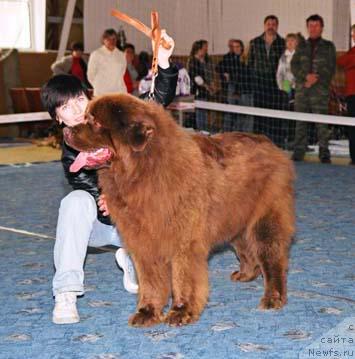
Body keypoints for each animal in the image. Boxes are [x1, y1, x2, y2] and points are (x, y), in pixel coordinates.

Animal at [64, 95, 294, 330]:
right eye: (85, 116)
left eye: (95, 122)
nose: (66, 131)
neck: (145, 169)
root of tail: (271, 145)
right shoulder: (144, 241)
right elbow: (151, 281)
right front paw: (147, 312)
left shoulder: (184, 241)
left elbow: (183, 278)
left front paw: (181, 311)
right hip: (235, 217)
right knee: (246, 249)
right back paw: (246, 275)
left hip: (265, 221)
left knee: (273, 258)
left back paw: (273, 297)